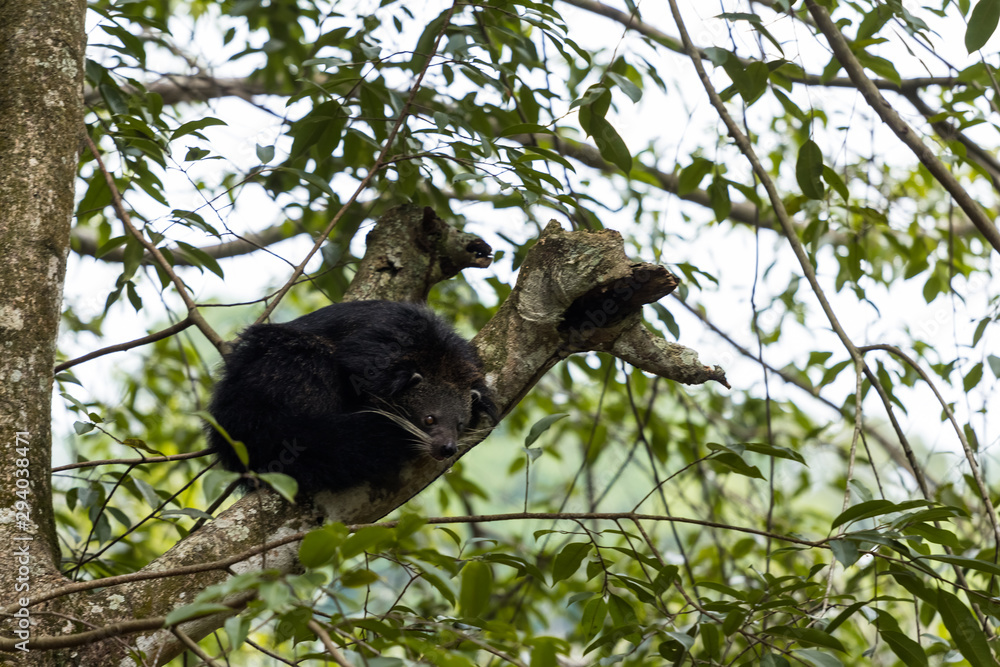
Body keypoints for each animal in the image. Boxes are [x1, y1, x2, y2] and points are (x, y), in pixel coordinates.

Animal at [205, 300, 496, 495]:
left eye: (459, 424)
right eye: (429, 419)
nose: (447, 448)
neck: (438, 359)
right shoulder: (374, 352)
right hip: (283, 368)